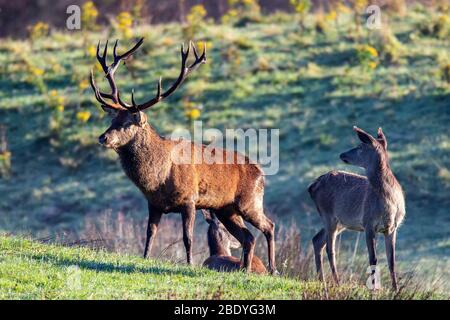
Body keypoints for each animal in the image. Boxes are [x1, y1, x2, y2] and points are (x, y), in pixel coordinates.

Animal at [89, 37, 276, 272]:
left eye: (126, 123)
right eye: (112, 120)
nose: (102, 137)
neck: (158, 178)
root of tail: (261, 172)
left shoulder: (189, 200)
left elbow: (188, 237)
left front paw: (190, 264)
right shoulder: (153, 203)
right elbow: (150, 234)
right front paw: (145, 258)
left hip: (250, 201)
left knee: (269, 226)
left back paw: (273, 269)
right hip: (226, 209)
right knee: (248, 237)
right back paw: (244, 270)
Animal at [308, 127, 406, 290]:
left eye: (360, 146)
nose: (342, 154)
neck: (389, 204)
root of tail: (312, 187)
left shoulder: (392, 228)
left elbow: (391, 261)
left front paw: (396, 290)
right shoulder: (368, 223)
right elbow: (373, 259)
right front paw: (374, 289)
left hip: (340, 222)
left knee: (317, 240)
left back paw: (321, 280)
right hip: (328, 215)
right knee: (330, 248)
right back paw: (336, 282)